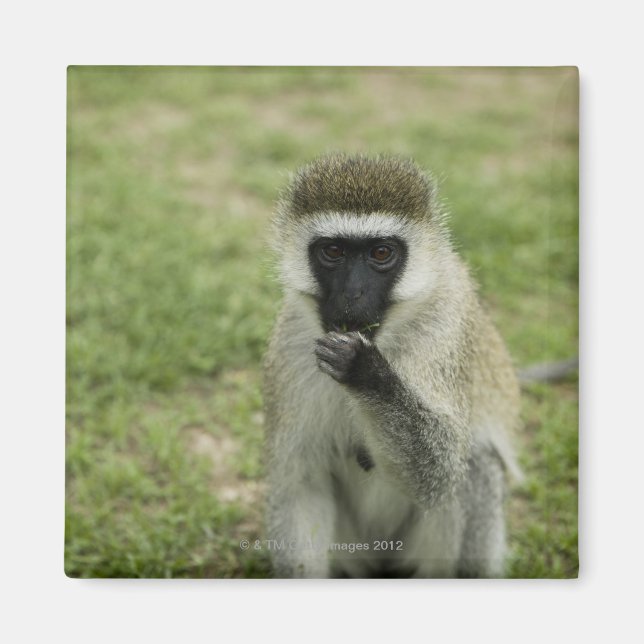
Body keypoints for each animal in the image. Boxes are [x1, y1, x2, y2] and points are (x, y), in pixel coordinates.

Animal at [263, 153, 521, 578]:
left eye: (381, 254)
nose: (353, 294)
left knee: (475, 466)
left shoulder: (443, 331)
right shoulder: (291, 348)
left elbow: (438, 473)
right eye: (333, 251)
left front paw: (365, 371)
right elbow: (301, 484)